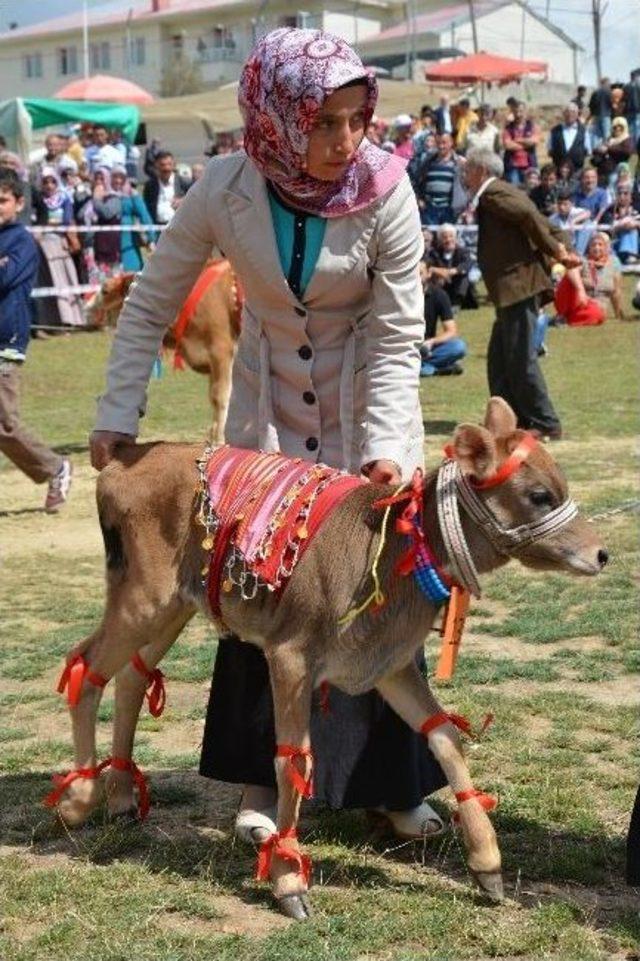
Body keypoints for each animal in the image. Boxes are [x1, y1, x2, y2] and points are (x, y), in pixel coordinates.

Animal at [45, 396, 604, 916]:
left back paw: (120, 796)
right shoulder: (290, 655)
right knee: (86, 665)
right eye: (539, 494)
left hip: (176, 604)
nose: (601, 553)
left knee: (131, 676)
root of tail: (121, 460)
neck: (391, 551)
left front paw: (487, 868)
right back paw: (78, 799)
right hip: (142, 596)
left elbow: (445, 735)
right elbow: (293, 758)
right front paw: (289, 883)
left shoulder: (388, 665)